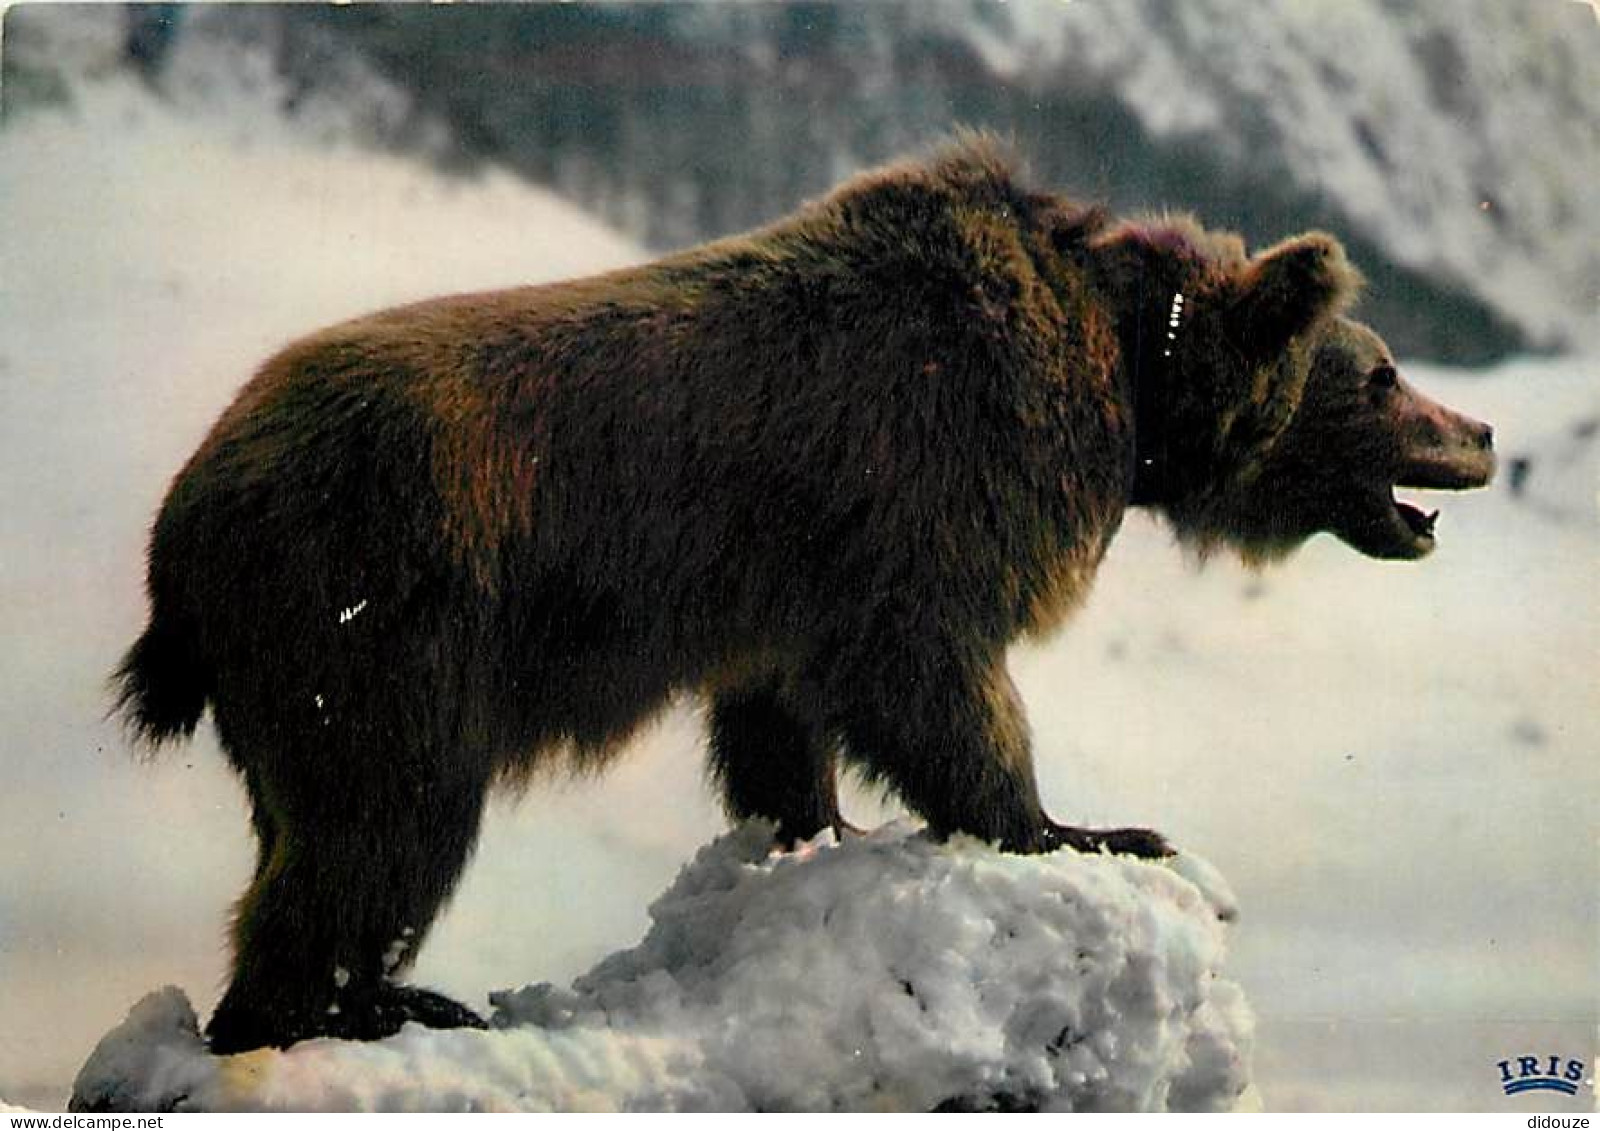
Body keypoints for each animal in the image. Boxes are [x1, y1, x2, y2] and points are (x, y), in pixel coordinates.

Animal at [109, 136, 1484, 1055]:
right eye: (1381, 375)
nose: (1475, 433)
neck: (1135, 390)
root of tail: (184, 516)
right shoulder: (935, 482)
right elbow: (939, 679)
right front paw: (1086, 827)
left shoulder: (796, 579)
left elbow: (784, 718)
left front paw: (817, 825)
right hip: (378, 604)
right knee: (384, 819)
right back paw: (365, 1005)